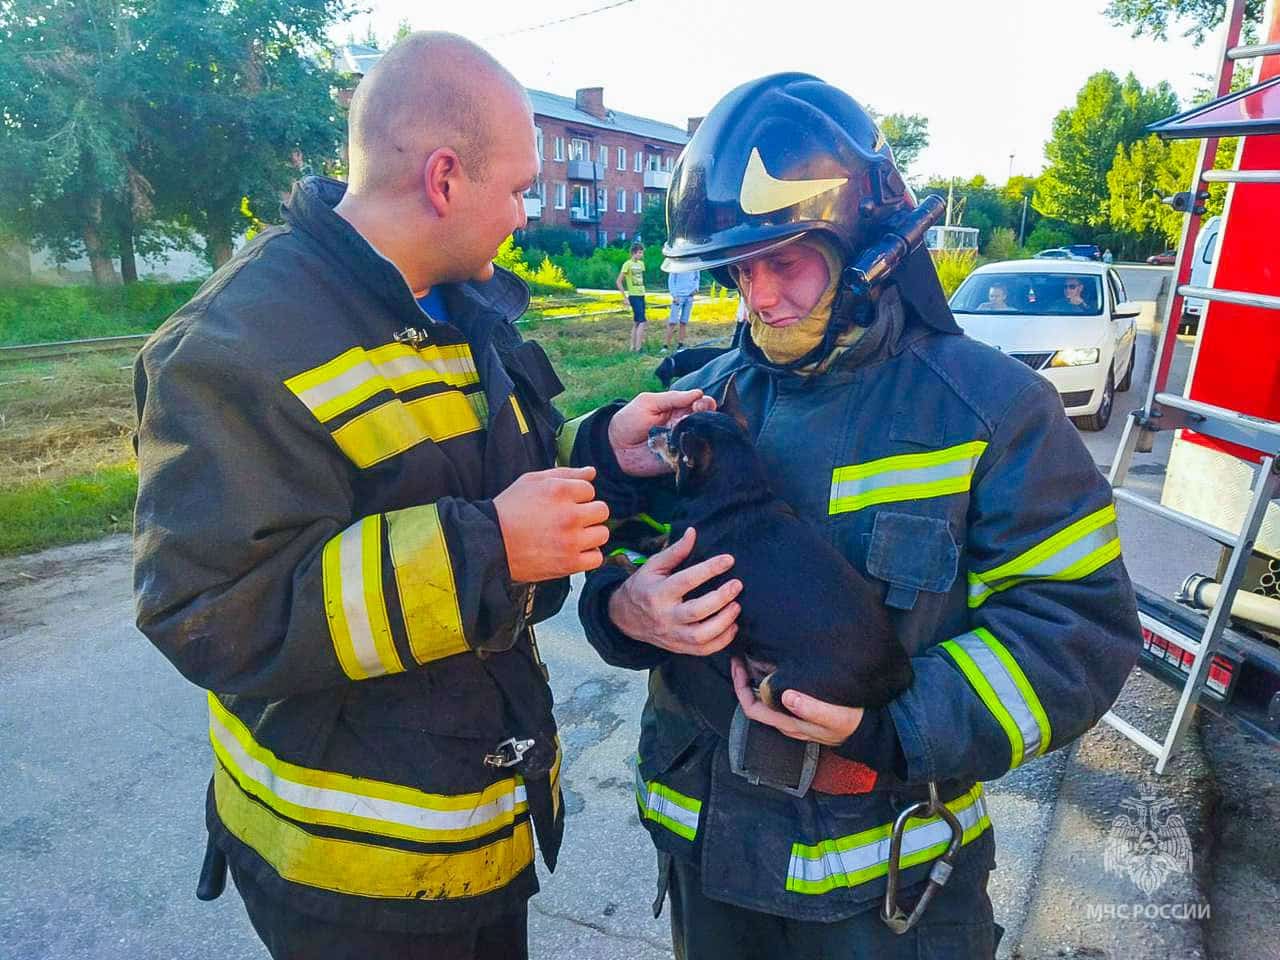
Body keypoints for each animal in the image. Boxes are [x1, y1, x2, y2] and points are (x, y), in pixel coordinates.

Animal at [650, 384, 911, 716]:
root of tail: (901, 675)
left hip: (782, 686)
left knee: (768, 693)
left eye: (673, 444)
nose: (652, 430)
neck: (737, 495)